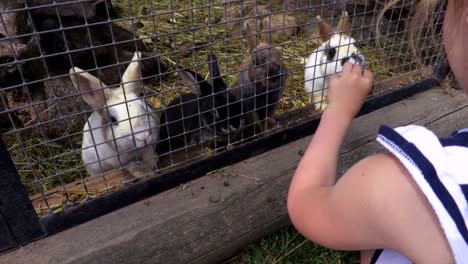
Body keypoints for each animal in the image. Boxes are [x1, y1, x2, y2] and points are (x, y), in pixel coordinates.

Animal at [70, 51, 159, 179]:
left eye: (144, 107)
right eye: (113, 120)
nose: (143, 137)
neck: (135, 150)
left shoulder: (149, 147)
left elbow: (149, 154)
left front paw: (153, 162)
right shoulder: (120, 162)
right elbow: (134, 166)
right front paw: (146, 173)